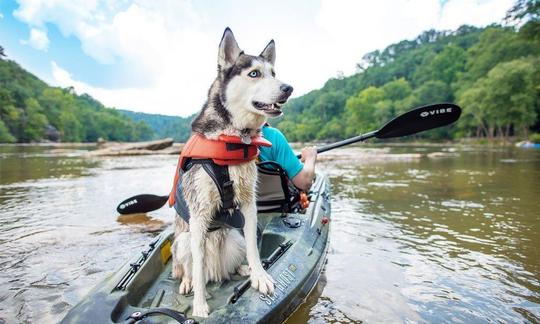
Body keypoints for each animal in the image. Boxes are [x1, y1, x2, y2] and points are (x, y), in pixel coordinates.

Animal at [172, 27, 292, 316]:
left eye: (273, 72)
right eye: (254, 74)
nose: (288, 88)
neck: (233, 139)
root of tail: (217, 272)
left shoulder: (248, 202)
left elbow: (254, 248)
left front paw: (259, 275)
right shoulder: (199, 214)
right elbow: (197, 266)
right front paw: (200, 306)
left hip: (234, 237)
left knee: (235, 258)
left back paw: (243, 270)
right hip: (183, 241)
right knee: (193, 268)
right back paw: (189, 281)